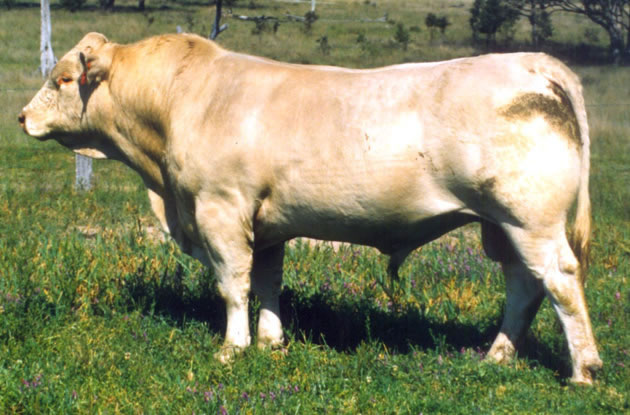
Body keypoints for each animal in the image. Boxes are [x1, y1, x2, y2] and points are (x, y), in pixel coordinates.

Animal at [19, 32, 602, 384]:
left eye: (63, 79)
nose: (22, 117)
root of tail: (532, 62)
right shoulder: (267, 225)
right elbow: (268, 283)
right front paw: (271, 342)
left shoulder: (219, 210)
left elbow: (233, 285)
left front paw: (232, 348)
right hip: (500, 226)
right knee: (524, 286)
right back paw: (496, 355)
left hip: (529, 219)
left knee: (559, 282)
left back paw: (583, 370)